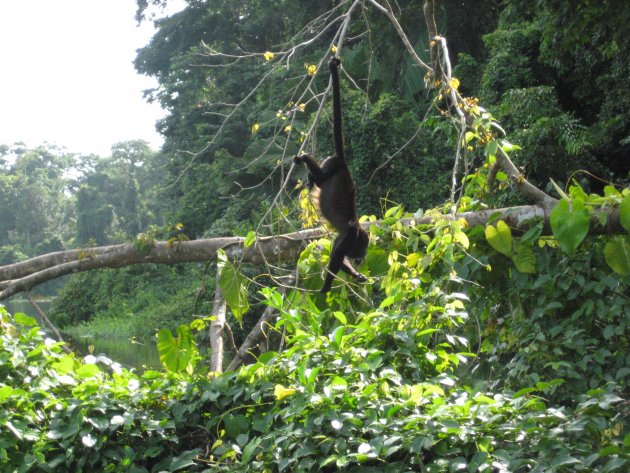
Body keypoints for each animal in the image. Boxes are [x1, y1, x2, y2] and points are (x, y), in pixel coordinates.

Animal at [296, 55, 370, 292]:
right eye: (362, 248)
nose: (362, 257)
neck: (356, 231)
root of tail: (344, 162)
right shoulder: (349, 238)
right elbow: (336, 257)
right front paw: (326, 285)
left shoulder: (342, 237)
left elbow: (336, 256)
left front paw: (357, 276)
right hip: (331, 166)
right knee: (321, 176)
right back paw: (304, 159)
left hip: (331, 163)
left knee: (318, 179)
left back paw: (309, 178)